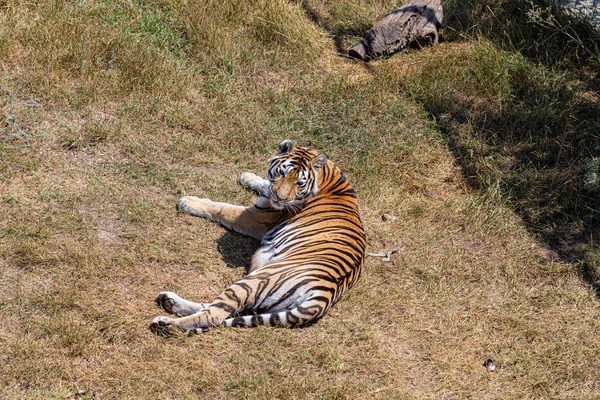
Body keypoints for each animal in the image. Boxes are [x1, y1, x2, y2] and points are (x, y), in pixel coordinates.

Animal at [150, 141, 366, 334]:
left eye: (299, 183)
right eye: (282, 173)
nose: (280, 199)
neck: (326, 175)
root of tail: (326, 292)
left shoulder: (254, 217)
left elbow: (222, 208)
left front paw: (188, 201)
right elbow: (264, 184)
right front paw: (247, 176)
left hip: (255, 280)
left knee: (215, 314)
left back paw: (165, 322)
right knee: (224, 309)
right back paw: (169, 301)